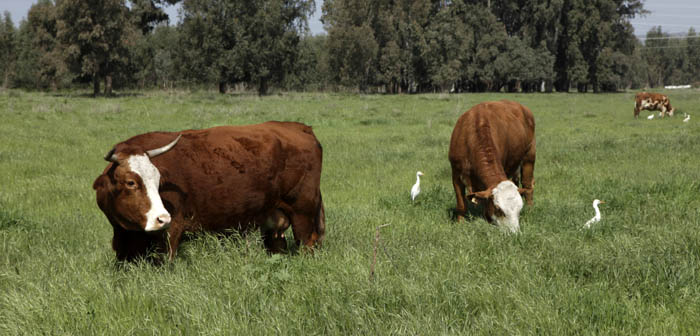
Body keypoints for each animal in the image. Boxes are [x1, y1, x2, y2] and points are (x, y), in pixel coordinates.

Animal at [91, 122, 328, 262]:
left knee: (307, 243)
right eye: (131, 182)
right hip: (273, 219)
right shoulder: (122, 241)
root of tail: (299, 127)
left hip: (302, 213)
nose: (162, 218)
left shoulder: (172, 231)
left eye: (158, 181)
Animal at [448, 98, 536, 232]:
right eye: (499, 209)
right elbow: (461, 204)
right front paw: (460, 224)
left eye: (519, 210)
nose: (514, 233)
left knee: (527, 184)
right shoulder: (456, 174)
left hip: (530, 154)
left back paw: (530, 208)